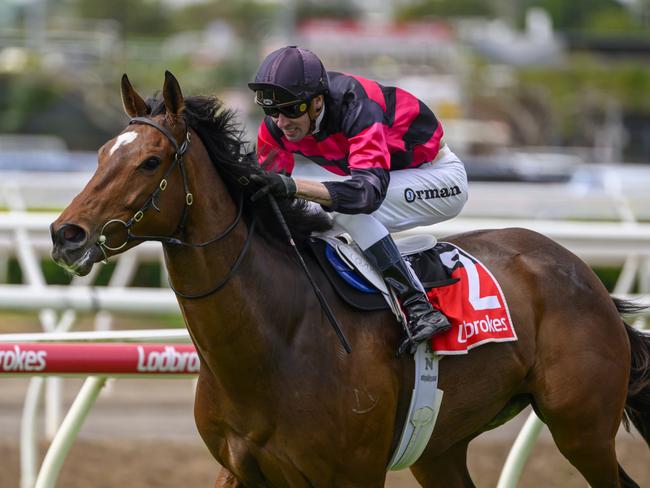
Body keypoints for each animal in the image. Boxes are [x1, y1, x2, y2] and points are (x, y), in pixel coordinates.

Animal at [50, 72, 648, 488]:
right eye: (101, 154)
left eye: (150, 162)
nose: (65, 234)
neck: (277, 338)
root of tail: (581, 272)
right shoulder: (241, 468)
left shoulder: (352, 472)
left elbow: (365, 187)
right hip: (441, 445)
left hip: (581, 427)